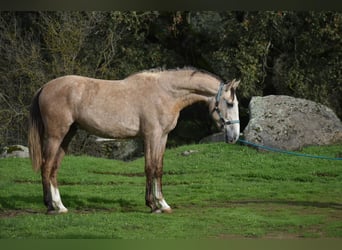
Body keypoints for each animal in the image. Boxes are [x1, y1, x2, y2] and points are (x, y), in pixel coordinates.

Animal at [28, 68, 239, 213]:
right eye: (229, 103)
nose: (235, 136)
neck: (165, 93)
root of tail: (45, 87)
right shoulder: (151, 136)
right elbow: (150, 168)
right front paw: (152, 205)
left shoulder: (162, 137)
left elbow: (158, 169)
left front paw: (163, 204)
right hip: (55, 135)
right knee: (46, 166)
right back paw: (50, 206)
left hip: (67, 136)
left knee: (54, 169)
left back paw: (60, 206)